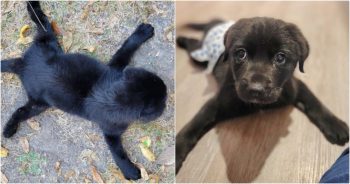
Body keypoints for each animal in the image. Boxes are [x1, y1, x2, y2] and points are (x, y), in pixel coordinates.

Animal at [0, 1, 167, 180]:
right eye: (162, 101)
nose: (166, 88)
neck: (111, 97)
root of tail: (23, 65)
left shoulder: (114, 69)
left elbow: (126, 48)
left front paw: (141, 33)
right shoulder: (110, 130)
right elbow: (117, 152)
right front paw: (130, 170)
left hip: (41, 83)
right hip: (41, 90)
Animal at [176, 16, 348, 172]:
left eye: (280, 57)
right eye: (241, 54)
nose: (256, 89)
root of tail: (217, 22)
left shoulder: (294, 86)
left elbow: (314, 101)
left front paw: (335, 124)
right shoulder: (217, 102)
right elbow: (194, 124)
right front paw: (175, 152)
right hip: (199, 54)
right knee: (192, 43)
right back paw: (180, 39)